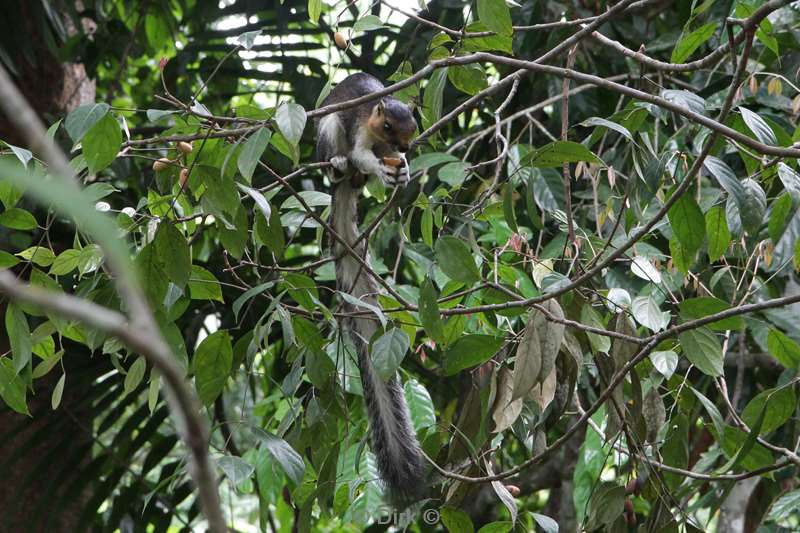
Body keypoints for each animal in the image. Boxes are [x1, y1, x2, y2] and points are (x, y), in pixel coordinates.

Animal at [312, 72, 424, 500]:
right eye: (387, 125)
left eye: (413, 126)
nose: (402, 148)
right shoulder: (359, 130)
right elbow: (363, 155)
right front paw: (379, 167)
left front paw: (403, 169)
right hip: (328, 129)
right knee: (342, 162)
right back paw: (339, 165)